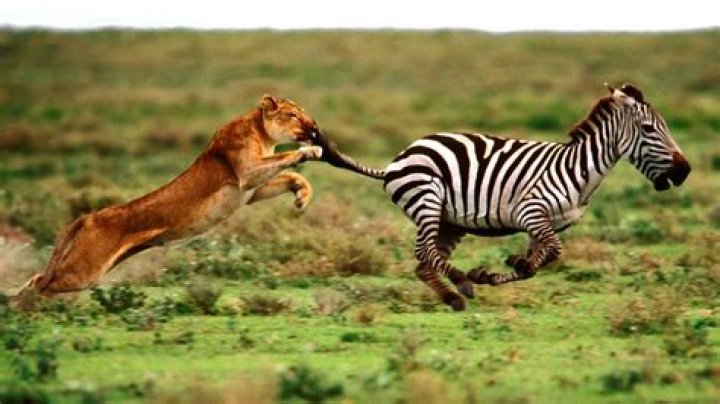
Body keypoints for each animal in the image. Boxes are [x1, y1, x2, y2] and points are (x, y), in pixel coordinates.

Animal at [314, 84, 691, 311]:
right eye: (649, 129)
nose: (684, 171)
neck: (578, 170)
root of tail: (399, 158)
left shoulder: (550, 224)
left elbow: (539, 262)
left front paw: (514, 265)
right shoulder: (531, 211)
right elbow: (554, 251)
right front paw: (489, 274)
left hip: (449, 220)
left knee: (423, 260)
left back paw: (452, 295)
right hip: (427, 199)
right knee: (427, 253)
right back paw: (463, 282)